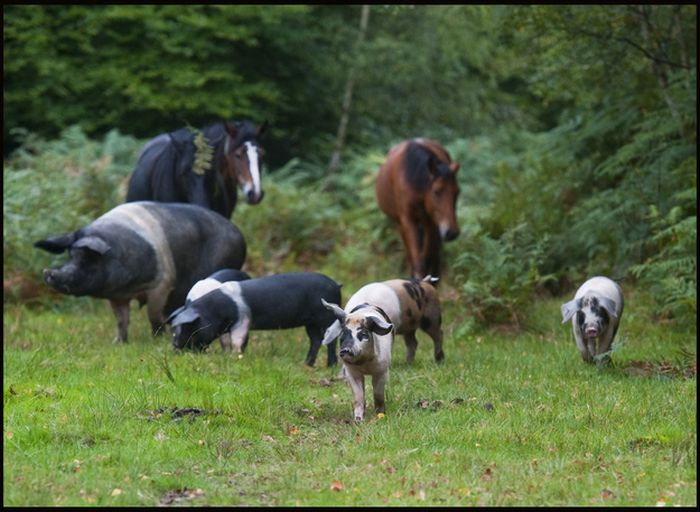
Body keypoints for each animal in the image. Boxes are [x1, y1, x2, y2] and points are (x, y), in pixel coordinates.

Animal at [33, 202, 246, 342]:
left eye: (87, 259)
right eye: (70, 255)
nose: (50, 275)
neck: (129, 286)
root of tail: (238, 233)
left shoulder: (162, 283)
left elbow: (153, 314)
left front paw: (157, 339)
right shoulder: (117, 297)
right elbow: (121, 320)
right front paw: (119, 343)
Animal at [165, 272, 340, 368]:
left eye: (191, 327)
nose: (176, 347)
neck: (216, 310)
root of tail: (336, 285)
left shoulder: (243, 320)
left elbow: (237, 340)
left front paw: (235, 357)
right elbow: (226, 342)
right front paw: (227, 355)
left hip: (326, 318)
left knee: (330, 341)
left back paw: (330, 365)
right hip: (310, 323)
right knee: (315, 340)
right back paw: (307, 364)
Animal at [318, 278, 442, 422]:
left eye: (364, 334)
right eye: (342, 335)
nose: (346, 350)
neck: (364, 364)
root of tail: (425, 281)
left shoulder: (382, 370)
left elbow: (378, 393)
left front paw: (380, 415)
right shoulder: (352, 372)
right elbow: (358, 397)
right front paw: (358, 420)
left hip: (432, 318)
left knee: (438, 335)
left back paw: (439, 360)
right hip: (410, 329)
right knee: (413, 342)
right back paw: (408, 363)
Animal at [378, 138, 460, 278]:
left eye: (457, 193)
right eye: (436, 192)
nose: (452, 233)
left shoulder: (431, 222)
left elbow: (426, 255)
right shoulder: (407, 221)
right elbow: (417, 259)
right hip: (400, 225)